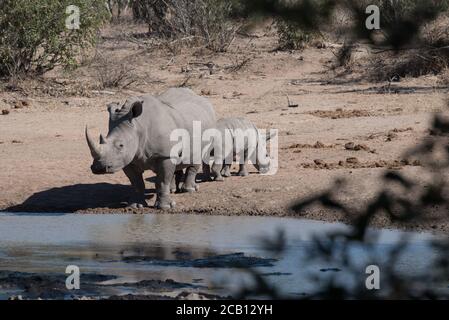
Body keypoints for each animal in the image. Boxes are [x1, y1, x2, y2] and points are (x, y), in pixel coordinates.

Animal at [86, 87, 217, 210]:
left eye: (121, 145)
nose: (99, 168)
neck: (138, 126)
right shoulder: (127, 159)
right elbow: (137, 183)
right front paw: (135, 206)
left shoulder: (164, 155)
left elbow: (162, 181)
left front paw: (165, 207)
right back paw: (172, 190)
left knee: (198, 156)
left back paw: (190, 190)